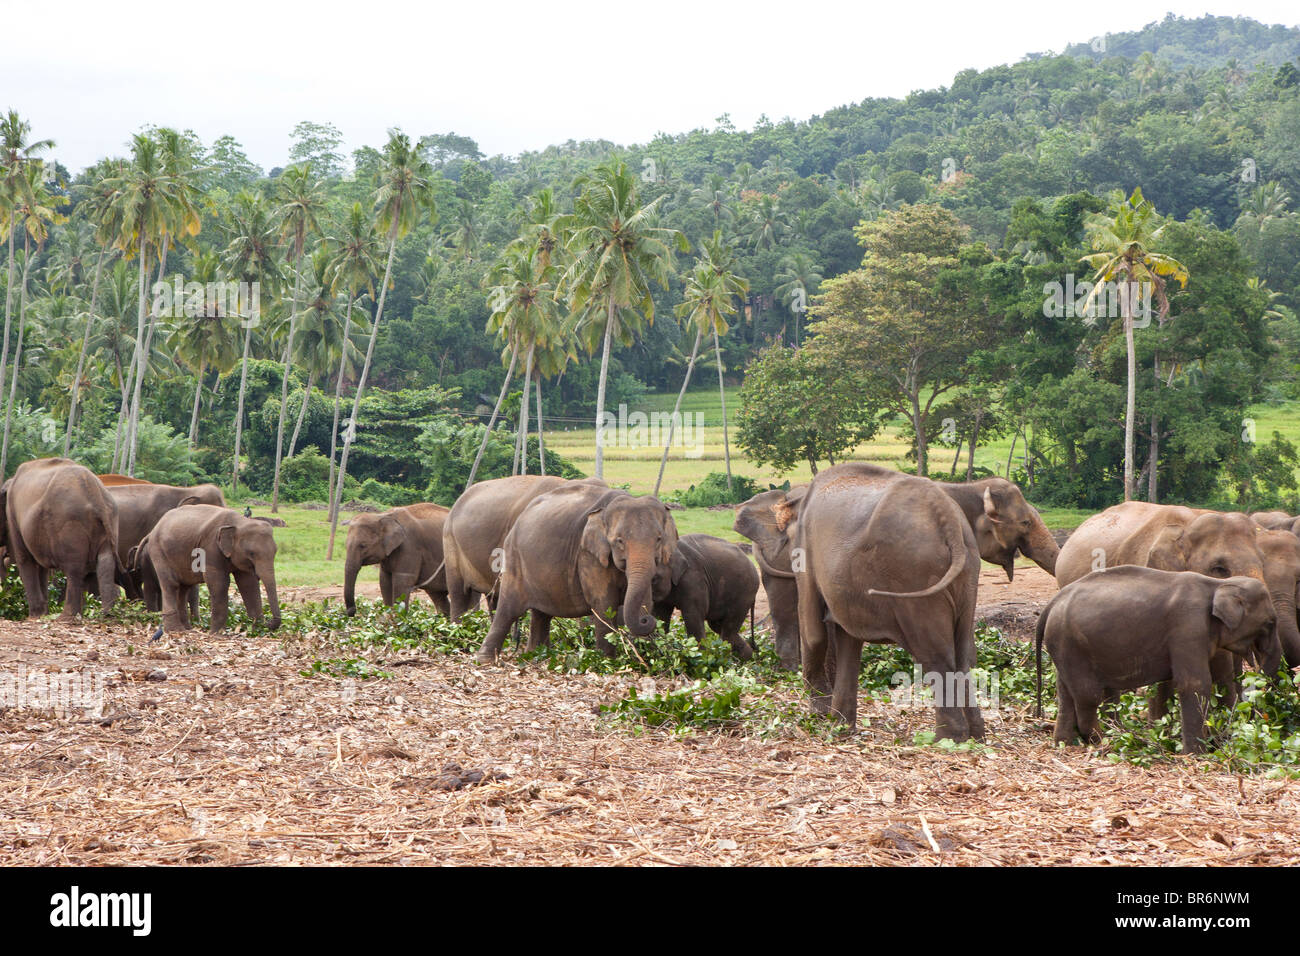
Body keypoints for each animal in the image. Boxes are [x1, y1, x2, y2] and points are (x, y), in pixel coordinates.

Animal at [0, 457, 122, 621]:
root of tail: (95, 495)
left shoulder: (13, 518)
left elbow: (23, 559)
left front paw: (35, 616)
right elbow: (41, 567)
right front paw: (43, 614)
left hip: (69, 523)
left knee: (74, 569)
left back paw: (66, 617)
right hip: (111, 519)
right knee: (105, 562)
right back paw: (107, 615)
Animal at [144, 504, 279, 639]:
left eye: (275, 552)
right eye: (251, 553)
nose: (268, 624)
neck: (239, 522)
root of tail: (154, 529)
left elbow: (248, 584)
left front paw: (256, 631)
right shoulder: (210, 547)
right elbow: (219, 583)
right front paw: (217, 634)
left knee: (184, 588)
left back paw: (187, 629)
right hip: (159, 552)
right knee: (171, 584)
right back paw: (175, 630)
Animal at [478, 486, 681, 665]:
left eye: (659, 539)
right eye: (620, 541)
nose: (649, 620)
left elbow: (645, 601)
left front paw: (646, 658)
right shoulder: (588, 555)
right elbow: (604, 603)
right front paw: (605, 662)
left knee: (541, 614)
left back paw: (537, 655)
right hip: (514, 559)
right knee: (509, 609)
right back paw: (485, 660)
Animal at [1034, 567, 1279, 754]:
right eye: (1269, 623)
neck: (1219, 583)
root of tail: (1052, 602)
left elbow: (1201, 681)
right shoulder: (1188, 627)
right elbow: (1194, 683)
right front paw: (1196, 755)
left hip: (1064, 646)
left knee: (1065, 691)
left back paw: (1065, 744)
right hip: (1071, 643)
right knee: (1087, 695)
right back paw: (1103, 741)